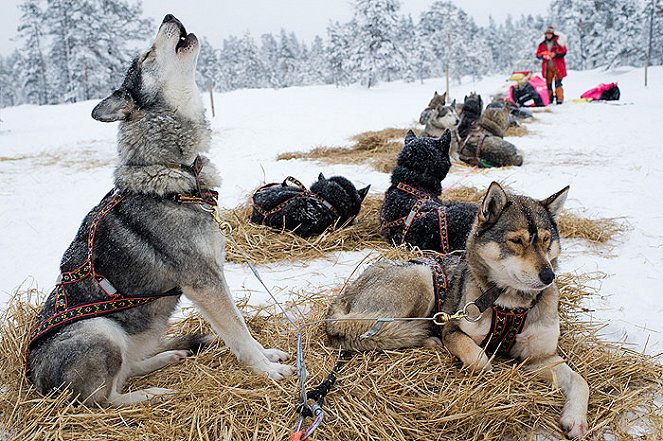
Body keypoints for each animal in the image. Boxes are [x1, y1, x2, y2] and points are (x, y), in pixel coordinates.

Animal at [324, 181, 588, 436]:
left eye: (545, 240)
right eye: (516, 241)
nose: (549, 276)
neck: (510, 305)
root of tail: (348, 290)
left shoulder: (541, 357)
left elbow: (580, 381)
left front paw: (576, 419)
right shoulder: (453, 329)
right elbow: (477, 358)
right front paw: (484, 364)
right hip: (421, 277)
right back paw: (427, 339)